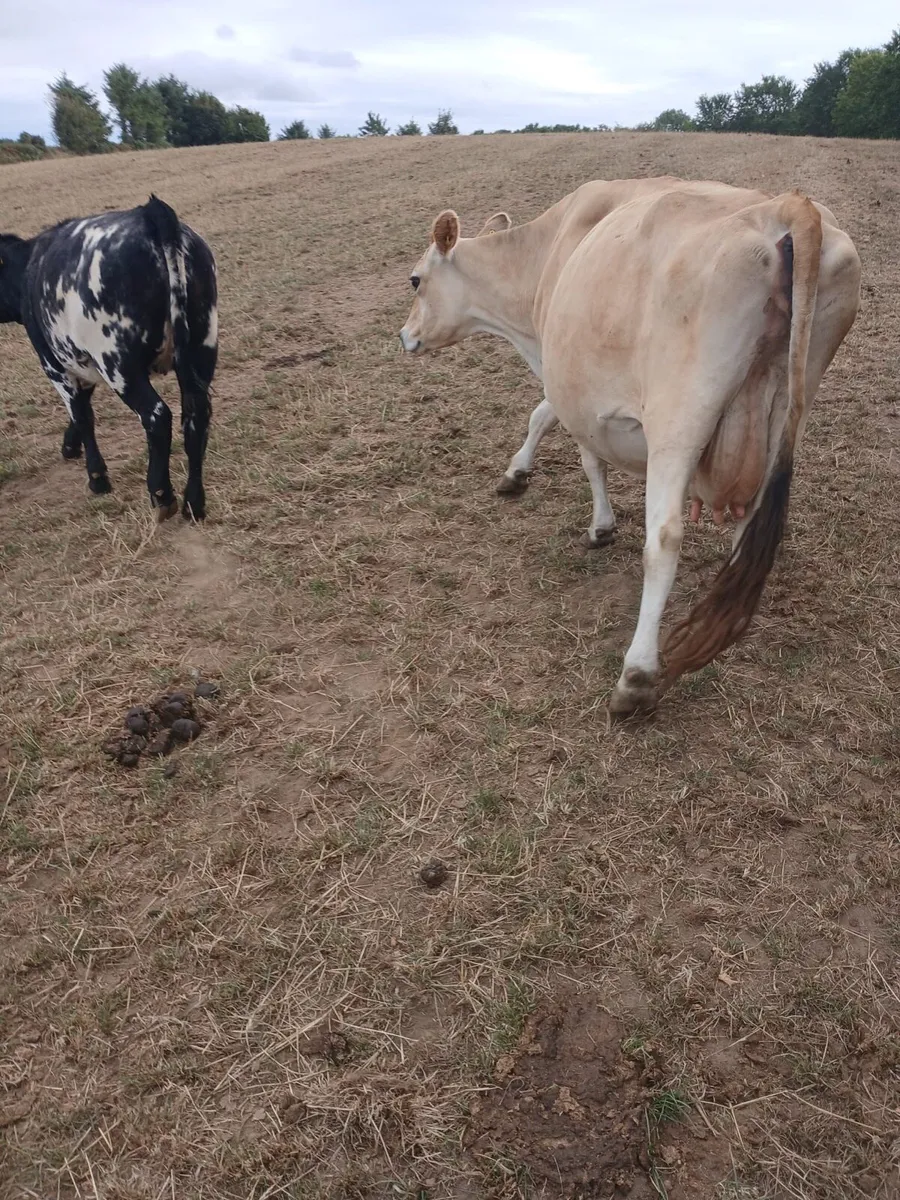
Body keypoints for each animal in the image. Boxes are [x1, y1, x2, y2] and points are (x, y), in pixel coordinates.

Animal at [0, 195, 217, 520]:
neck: (29, 266)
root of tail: (151, 214)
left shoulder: (54, 364)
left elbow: (81, 413)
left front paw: (97, 478)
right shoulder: (81, 360)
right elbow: (82, 406)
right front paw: (70, 446)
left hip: (119, 366)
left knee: (157, 416)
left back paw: (161, 493)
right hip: (201, 349)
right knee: (197, 417)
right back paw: (194, 503)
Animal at [399, 178, 860, 716]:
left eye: (415, 280)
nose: (404, 336)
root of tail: (788, 206)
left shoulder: (572, 386)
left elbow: (574, 445)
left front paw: (583, 515)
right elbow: (546, 418)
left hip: (678, 418)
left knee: (664, 540)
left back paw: (635, 677)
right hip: (790, 404)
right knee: (750, 525)